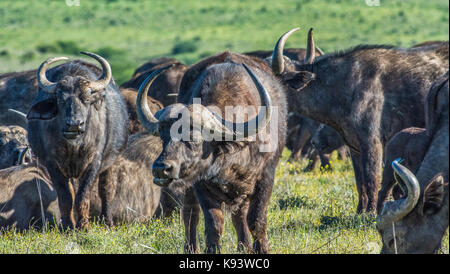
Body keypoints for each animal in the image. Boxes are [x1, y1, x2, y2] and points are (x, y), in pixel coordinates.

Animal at [26, 52, 128, 229]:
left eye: (86, 99)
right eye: (61, 100)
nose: (74, 124)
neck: (74, 145)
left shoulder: (94, 162)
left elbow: (83, 195)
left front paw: (84, 226)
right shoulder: (52, 164)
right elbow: (66, 196)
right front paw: (67, 226)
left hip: (111, 163)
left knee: (106, 189)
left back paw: (107, 221)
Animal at [136, 51, 288, 253]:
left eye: (193, 138)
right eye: (163, 137)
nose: (161, 168)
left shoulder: (266, 177)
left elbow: (256, 220)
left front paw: (262, 249)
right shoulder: (200, 183)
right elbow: (213, 223)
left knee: (240, 215)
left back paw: (244, 247)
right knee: (190, 214)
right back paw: (191, 248)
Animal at [268, 27, 448, 212]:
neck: (344, 86)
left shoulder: (372, 143)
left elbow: (371, 179)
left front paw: (370, 212)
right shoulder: (353, 146)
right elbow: (359, 181)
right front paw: (360, 211)